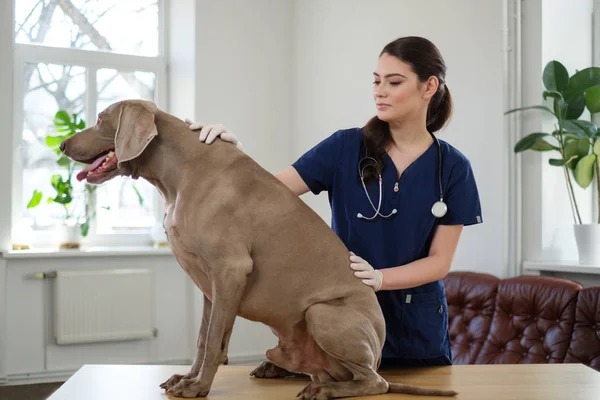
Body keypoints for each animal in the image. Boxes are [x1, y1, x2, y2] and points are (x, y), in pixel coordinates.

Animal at [58, 98, 458, 398]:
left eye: (100, 119)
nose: (61, 145)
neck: (180, 170)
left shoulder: (231, 270)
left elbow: (215, 340)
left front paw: (198, 387)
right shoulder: (210, 286)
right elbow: (203, 338)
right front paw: (186, 378)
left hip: (323, 314)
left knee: (376, 383)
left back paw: (326, 391)